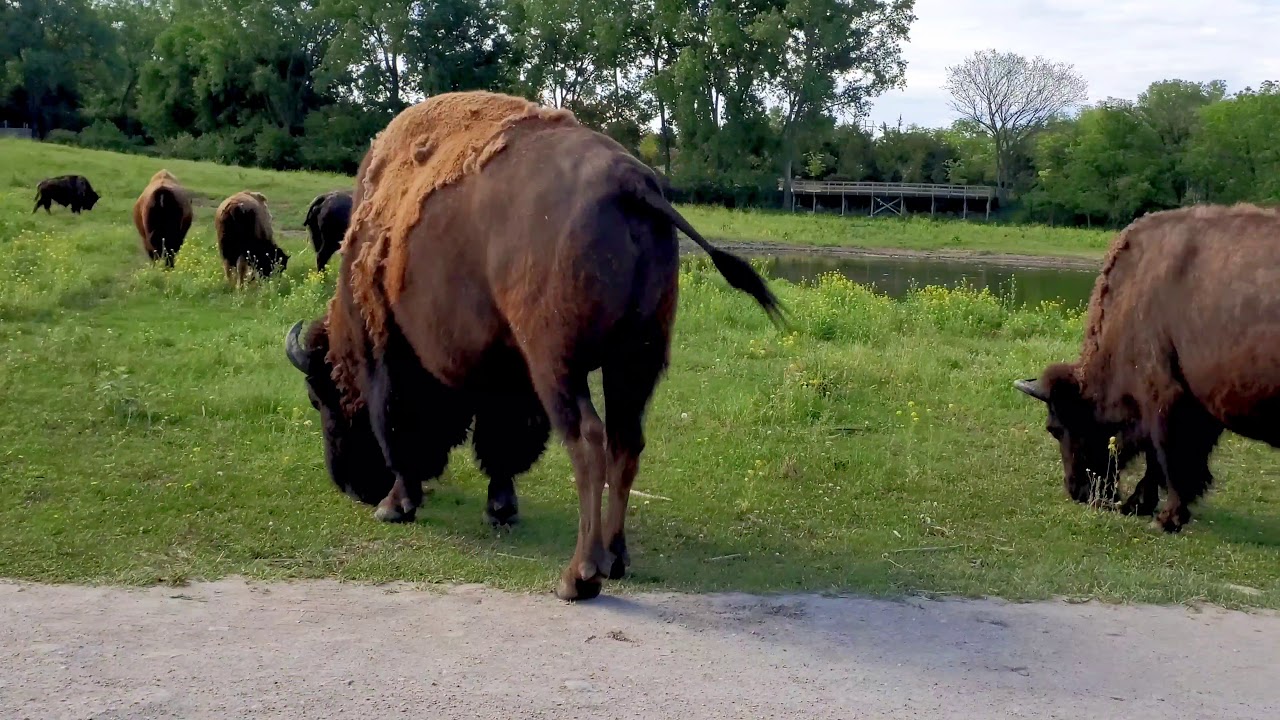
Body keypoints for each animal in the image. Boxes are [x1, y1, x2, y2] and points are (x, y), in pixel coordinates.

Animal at [281, 89, 778, 599]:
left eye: (318, 397)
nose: (350, 486)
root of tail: (633, 185)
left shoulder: (394, 354)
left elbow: (402, 432)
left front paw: (396, 505)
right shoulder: (507, 372)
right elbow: (501, 440)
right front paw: (500, 507)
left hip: (559, 366)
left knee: (588, 441)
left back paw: (579, 575)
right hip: (634, 362)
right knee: (626, 442)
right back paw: (616, 558)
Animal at [1018, 204, 1280, 530]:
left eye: (1054, 428)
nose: (1078, 491)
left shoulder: (1164, 398)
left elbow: (1168, 459)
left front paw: (1166, 517)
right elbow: (1167, 461)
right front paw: (1139, 505)